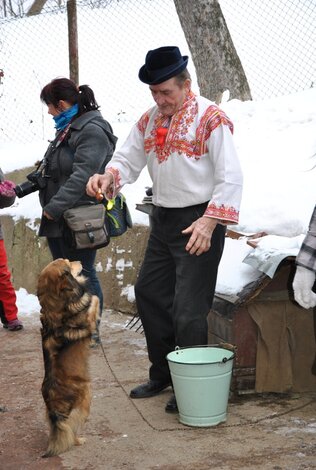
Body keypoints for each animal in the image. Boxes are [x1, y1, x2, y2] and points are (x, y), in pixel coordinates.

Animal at [37, 258, 99, 458]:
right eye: (68, 263)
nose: (79, 260)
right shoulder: (88, 321)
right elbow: (93, 300)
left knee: (65, 429)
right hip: (86, 394)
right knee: (71, 425)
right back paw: (78, 440)